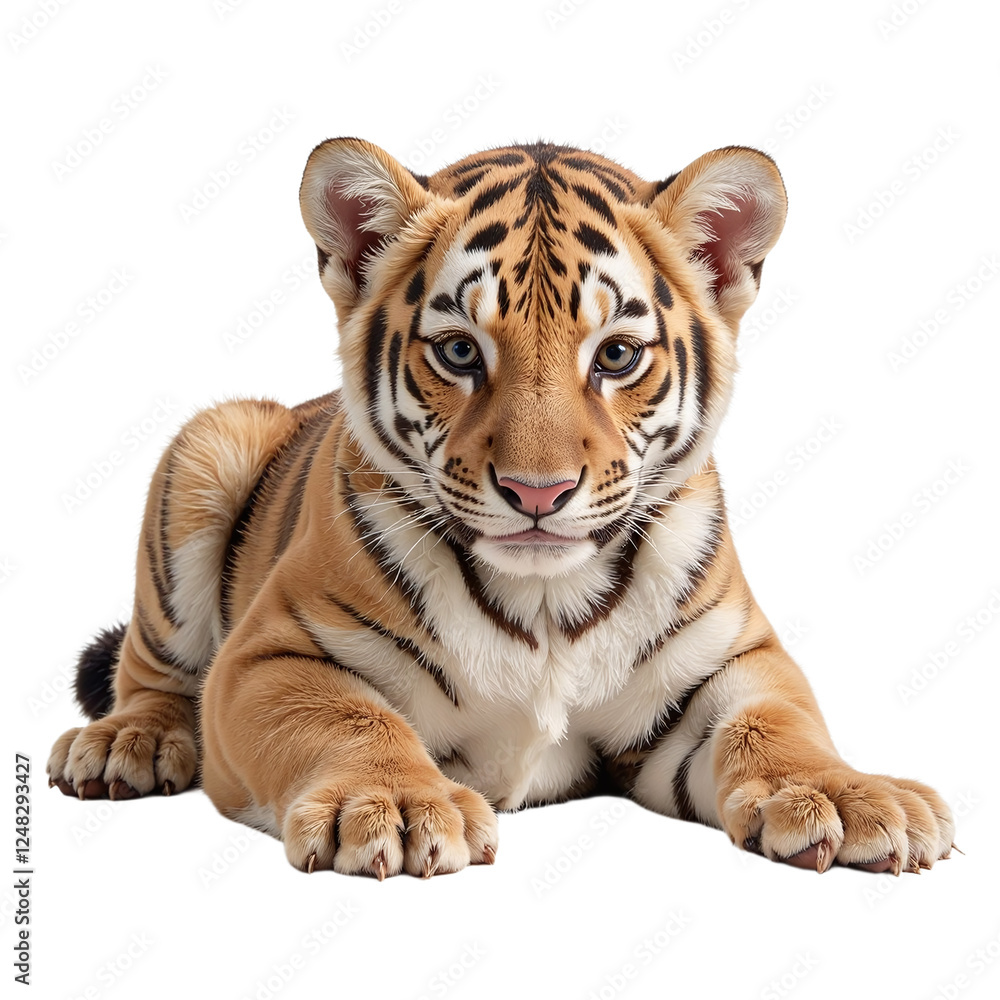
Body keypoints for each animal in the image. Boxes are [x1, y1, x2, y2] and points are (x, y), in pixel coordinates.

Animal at [47, 137, 956, 879]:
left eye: (615, 357)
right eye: (459, 351)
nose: (538, 493)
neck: (546, 601)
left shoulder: (736, 662)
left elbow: (779, 725)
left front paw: (848, 797)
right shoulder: (269, 654)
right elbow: (345, 719)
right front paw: (393, 807)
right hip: (210, 446)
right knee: (151, 673)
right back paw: (125, 743)